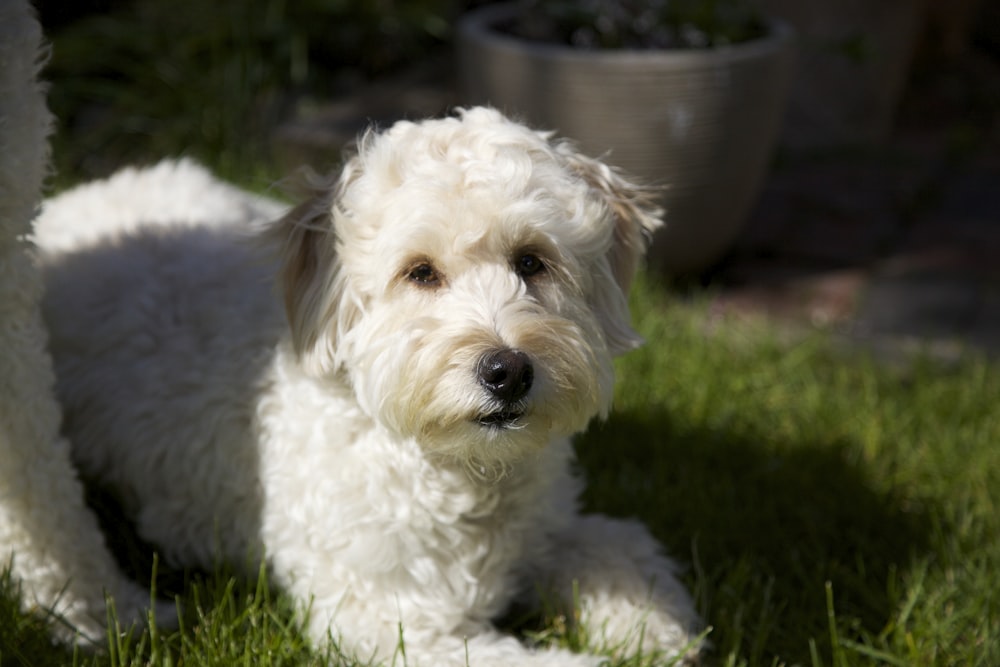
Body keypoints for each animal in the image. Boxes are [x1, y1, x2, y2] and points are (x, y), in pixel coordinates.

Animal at [35, 107, 700, 664]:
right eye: (420, 272)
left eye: (532, 260)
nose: (507, 371)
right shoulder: (389, 621)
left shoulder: (550, 531)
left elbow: (620, 547)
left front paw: (652, 628)